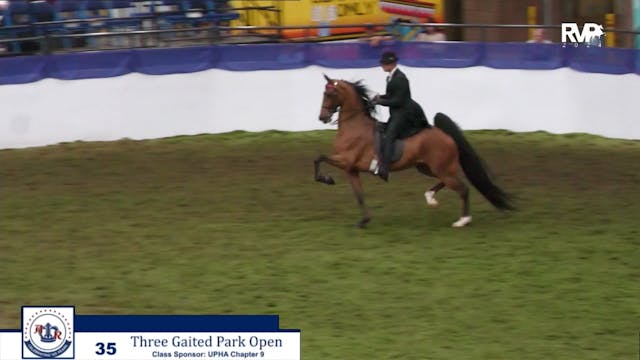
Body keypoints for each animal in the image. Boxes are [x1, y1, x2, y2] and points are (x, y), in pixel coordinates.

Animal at [316, 75, 516, 228]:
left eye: (330, 94)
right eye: (324, 93)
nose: (322, 117)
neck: (354, 125)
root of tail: (445, 135)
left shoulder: (346, 161)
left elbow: (319, 158)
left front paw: (327, 179)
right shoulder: (351, 169)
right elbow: (359, 196)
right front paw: (364, 221)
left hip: (440, 168)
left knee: (463, 188)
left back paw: (463, 221)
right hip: (427, 167)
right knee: (450, 182)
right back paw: (431, 197)